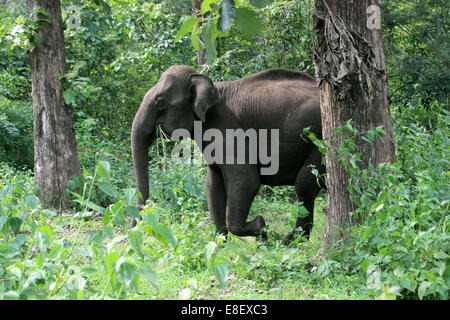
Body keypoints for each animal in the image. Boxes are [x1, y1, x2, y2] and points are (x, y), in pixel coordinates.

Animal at [132, 65, 326, 244]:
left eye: (161, 102)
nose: (134, 229)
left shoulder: (230, 132)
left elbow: (246, 181)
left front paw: (261, 227)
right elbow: (213, 184)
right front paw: (219, 245)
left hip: (319, 140)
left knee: (304, 185)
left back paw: (291, 241)